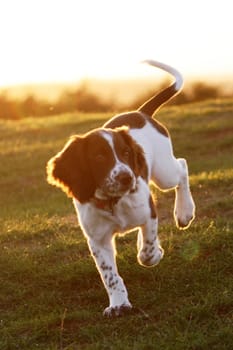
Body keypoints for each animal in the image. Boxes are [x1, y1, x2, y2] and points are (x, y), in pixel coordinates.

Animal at [46, 60, 195, 318]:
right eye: (98, 157)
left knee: (182, 167)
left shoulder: (148, 211)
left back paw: (185, 213)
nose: (127, 178)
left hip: (164, 172)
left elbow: (147, 252)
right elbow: (109, 275)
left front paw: (155, 252)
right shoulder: (97, 239)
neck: (112, 201)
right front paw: (118, 304)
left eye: (126, 153)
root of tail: (141, 112)